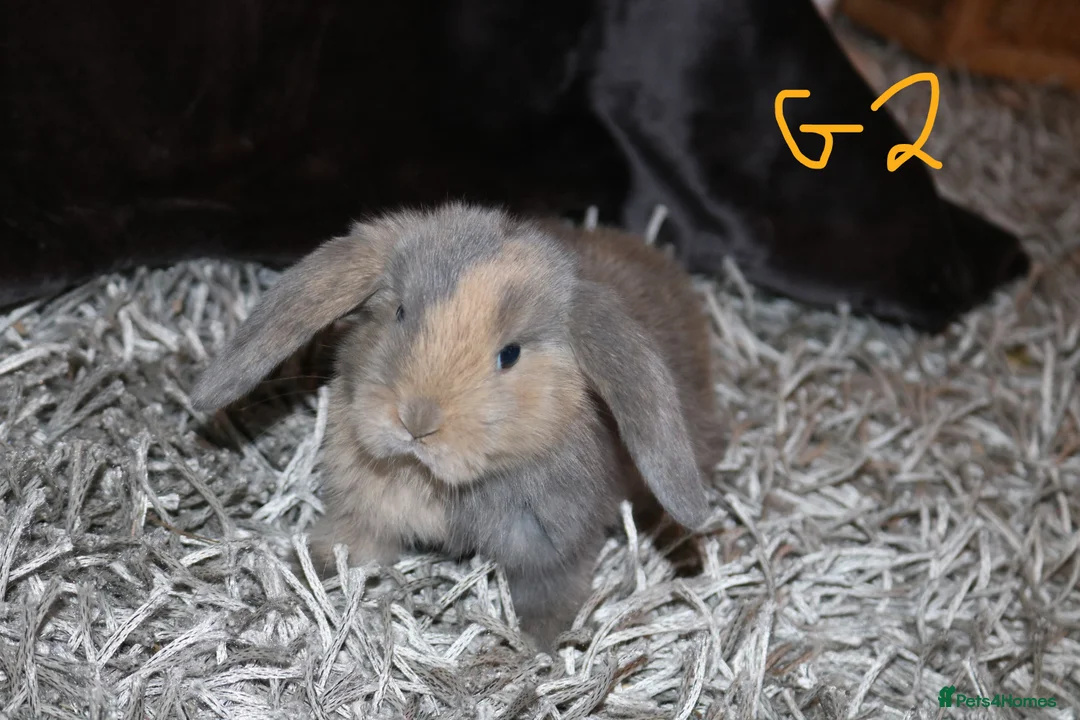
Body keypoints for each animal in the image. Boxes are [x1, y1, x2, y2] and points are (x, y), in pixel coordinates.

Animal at [190, 202, 722, 650]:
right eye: (401, 312)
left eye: (510, 354)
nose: (417, 420)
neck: (429, 477)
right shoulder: (363, 512)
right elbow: (348, 546)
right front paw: (304, 573)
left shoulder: (555, 551)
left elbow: (547, 598)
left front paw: (536, 651)